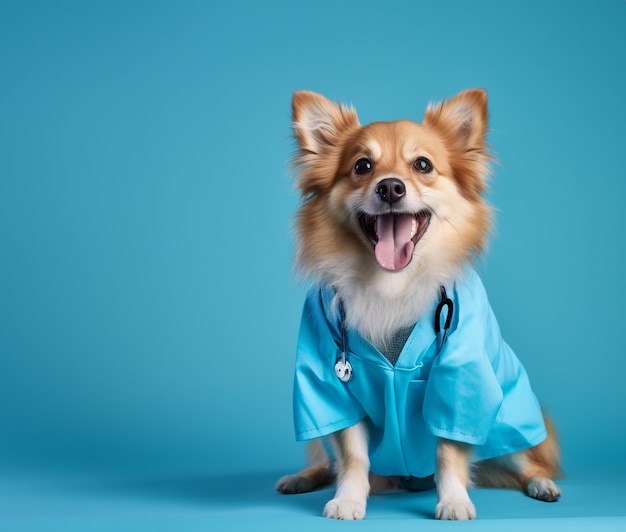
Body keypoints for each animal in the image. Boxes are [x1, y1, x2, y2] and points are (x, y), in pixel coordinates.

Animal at [276, 88, 560, 520]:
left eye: (422, 165)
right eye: (362, 166)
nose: (391, 187)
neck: (392, 283)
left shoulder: (458, 377)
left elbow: (449, 450)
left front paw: (454, 500)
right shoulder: (329, 387)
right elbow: (352, 455)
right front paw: (348, 499)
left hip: (510, 421)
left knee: (527, 460)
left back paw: (542, 483)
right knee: (328, 460)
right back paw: (302, 478)